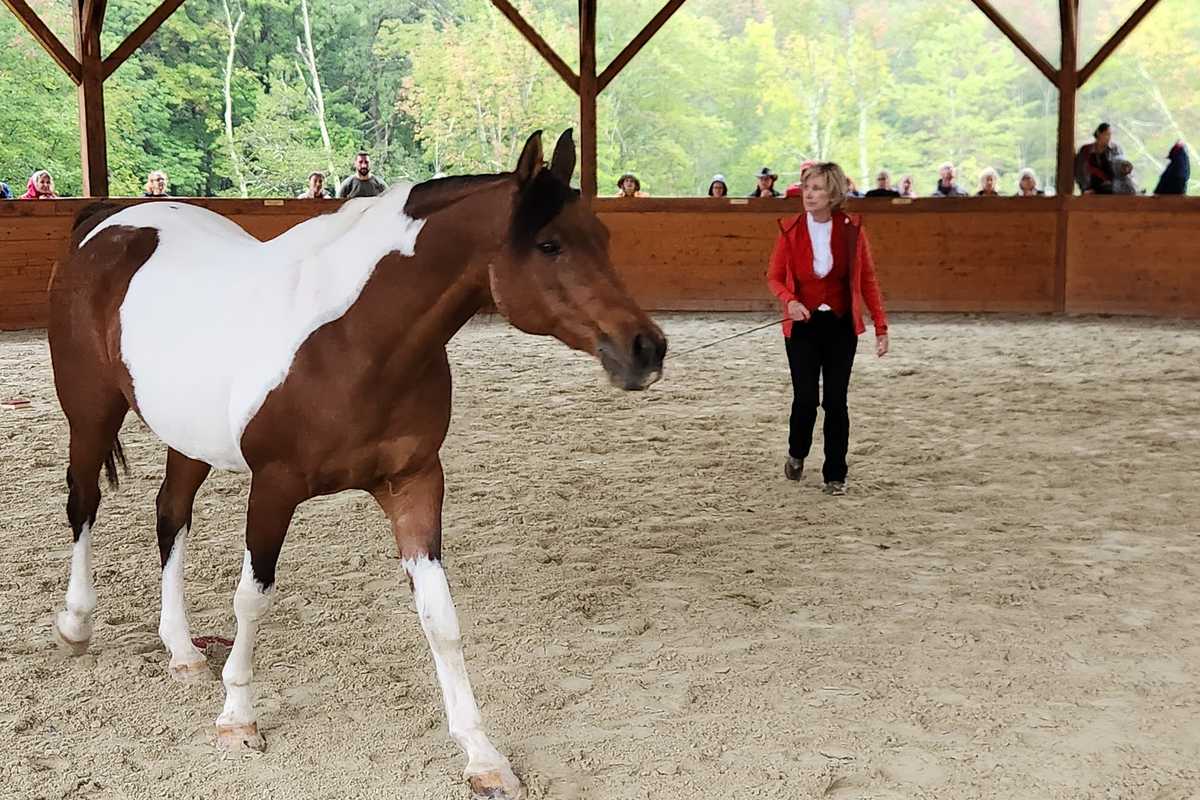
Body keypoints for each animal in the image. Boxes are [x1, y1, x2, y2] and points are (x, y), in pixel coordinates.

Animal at [46, 129, 666, 800]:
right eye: (550, 244)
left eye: (602, 237)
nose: (646, 349)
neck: (353, 342)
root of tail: (105, 222)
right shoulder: (274, 487)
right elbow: (252, 599)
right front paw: (238, 718)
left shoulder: (414, 484)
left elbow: (440, 619)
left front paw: (481, 754)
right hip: (90, 412)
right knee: (83, 503)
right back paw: (76, 625)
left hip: (187, 436)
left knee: (170, 515)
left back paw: (182, 651)